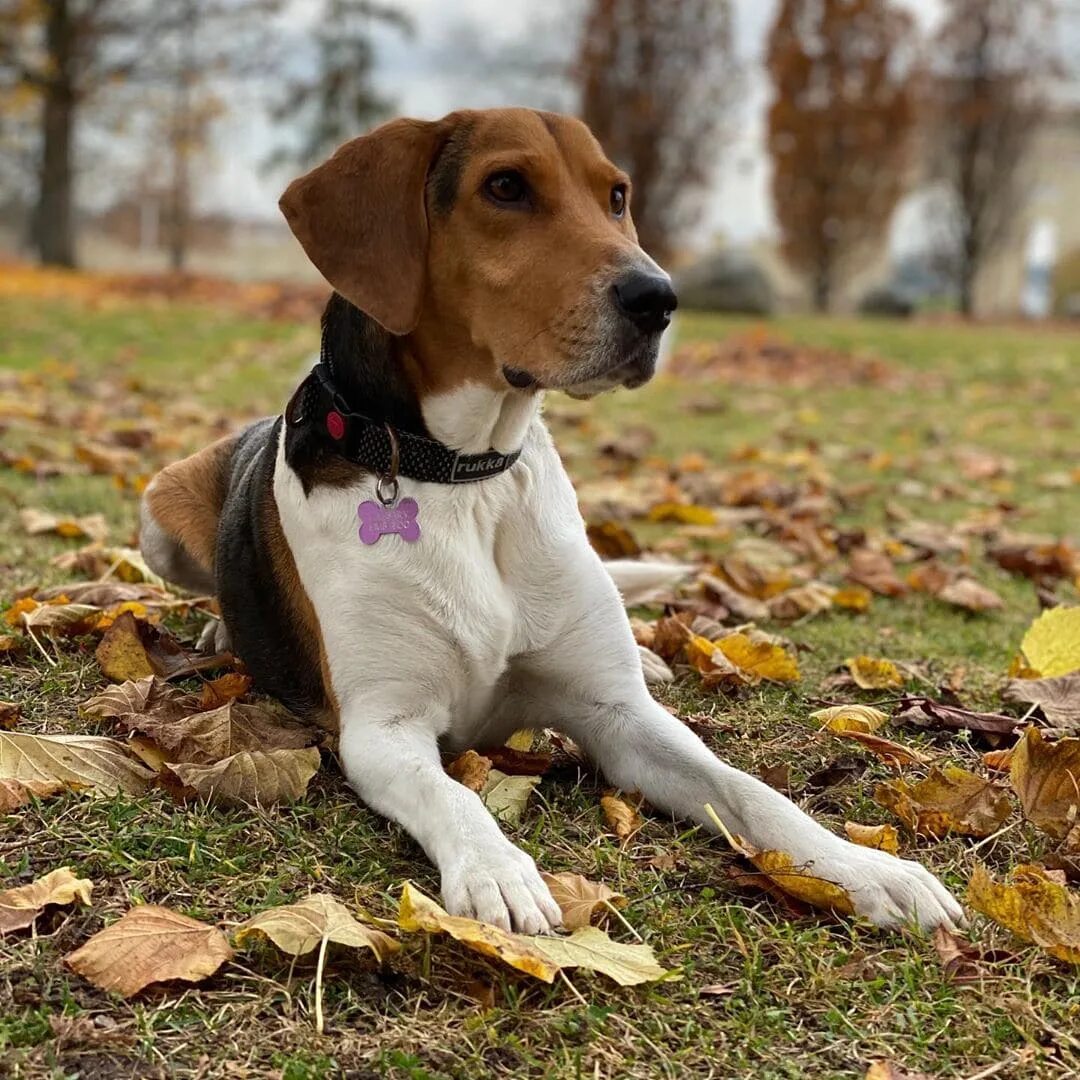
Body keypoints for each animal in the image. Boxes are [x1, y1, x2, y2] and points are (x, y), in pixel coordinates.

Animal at [137, 111, 963, 937]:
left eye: (617, 195)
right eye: (505, 186)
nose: (658, 298)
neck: (465, 475)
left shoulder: (620, 718)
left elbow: (749, 790)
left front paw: (865, 869)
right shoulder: (381, 728)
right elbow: (453, 793)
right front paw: (497, 872)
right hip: (159, 507)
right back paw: (219, 629)